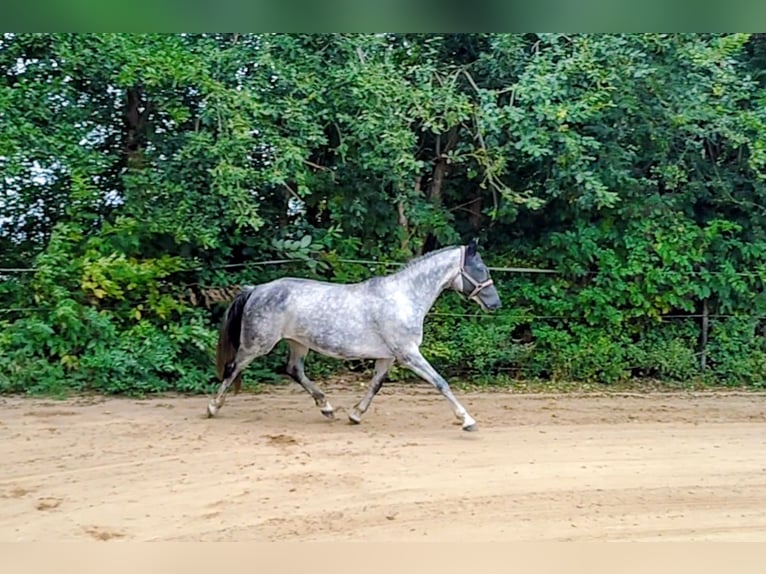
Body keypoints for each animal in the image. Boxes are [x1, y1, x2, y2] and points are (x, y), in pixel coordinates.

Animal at [207, 239, 501, 431]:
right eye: (480, 269)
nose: (495, 304)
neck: (404, 298)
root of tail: (256, 289)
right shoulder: (408, 354)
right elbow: (440, 382)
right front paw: (467, 420)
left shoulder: (387, 357)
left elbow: (375, 385)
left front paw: (355, 415)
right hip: (257, 345)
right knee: (233, 368)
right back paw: (213, 407)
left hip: (298, 343)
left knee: (293, 370)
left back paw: (326, 407)